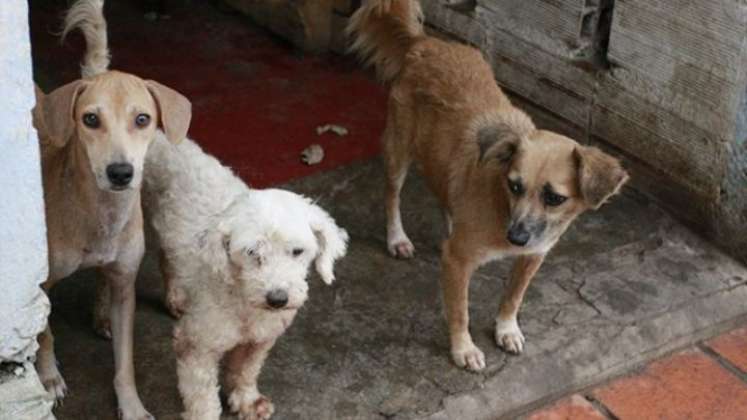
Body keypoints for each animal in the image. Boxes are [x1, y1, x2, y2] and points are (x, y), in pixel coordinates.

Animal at [32, 1, 191, 418]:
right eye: (90, 119)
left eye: (143, 119)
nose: (120, 173)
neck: (100, 214)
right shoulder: (39, 286)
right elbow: (44, 333)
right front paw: (48, 376)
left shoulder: (125, 288)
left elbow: (125, 363)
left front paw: (131, 404)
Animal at [142, 134, 348, 420]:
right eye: (252, 252)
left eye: (297, 251)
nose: (277, 299)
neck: (243, 299)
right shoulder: (196, 346)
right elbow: (202, 396)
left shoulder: (260, 338)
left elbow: (246, 370)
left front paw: (247, 401)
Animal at [348, 1, 628, 372]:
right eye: (514, 185)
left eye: (554, 198)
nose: (516, 238)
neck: (501, 206)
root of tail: (425, 42)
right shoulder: (459, 262)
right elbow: (460, 311)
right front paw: (463, 349)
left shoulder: (533, 256)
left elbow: (513, 297)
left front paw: (506, 330)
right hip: (398, 151)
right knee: (392, 196)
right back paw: (398, 239)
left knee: (445, 195)